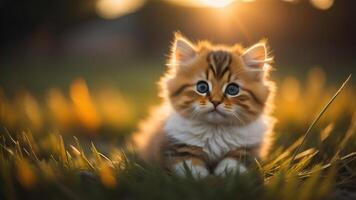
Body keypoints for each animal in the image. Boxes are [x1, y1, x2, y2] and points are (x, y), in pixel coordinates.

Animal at [132, 32, 276, 178]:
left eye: (232, 89)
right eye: (202, 87)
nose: (216, 102)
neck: (215, 130)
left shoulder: (248, 149)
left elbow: (234, 162)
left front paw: (225, 174)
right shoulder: (176, 148)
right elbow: (191, 167)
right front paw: (203, 178)